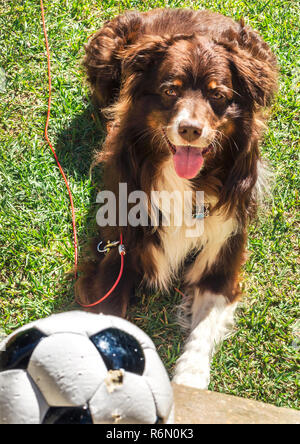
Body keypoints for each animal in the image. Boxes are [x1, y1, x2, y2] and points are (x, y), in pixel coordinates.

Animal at [76, 9, 278, 388]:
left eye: (218, 96)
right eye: (170, 90)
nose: (190, 130)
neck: (186, 181)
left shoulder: (224, 247)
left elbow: (202, 331)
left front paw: (190, 379)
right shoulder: (119, 251)